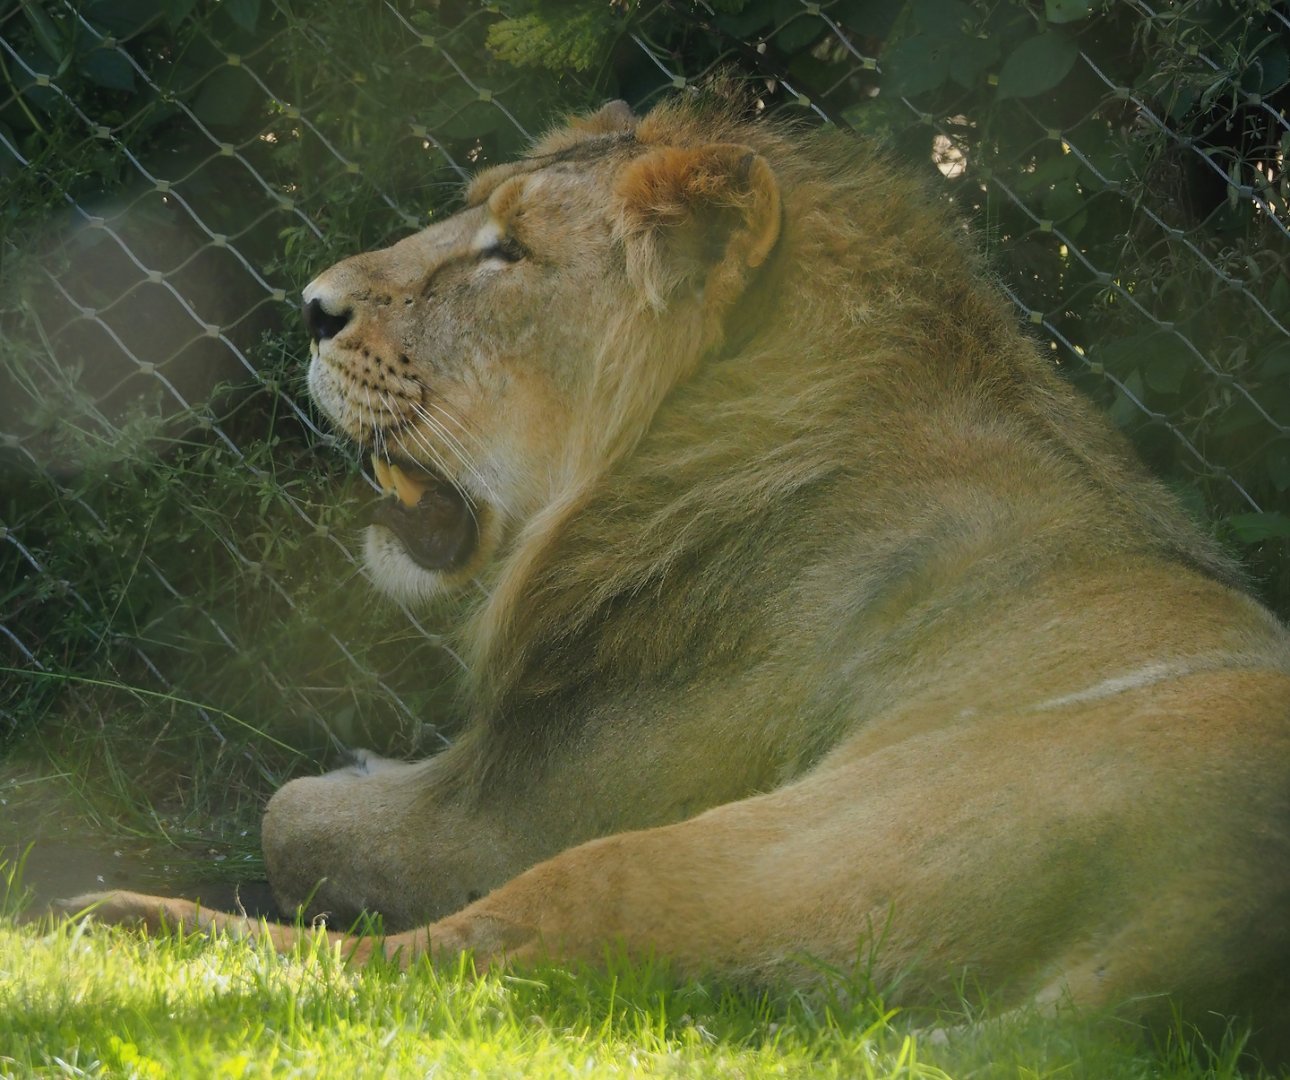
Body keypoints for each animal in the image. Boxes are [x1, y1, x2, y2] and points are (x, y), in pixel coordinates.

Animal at [63, 92, 1290, 1052]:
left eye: (509, 251)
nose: (312, 308)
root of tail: (1208, 923)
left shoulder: (515, 816)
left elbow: (292, 817)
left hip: (753, 848)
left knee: (438, 964)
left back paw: (109, 921)